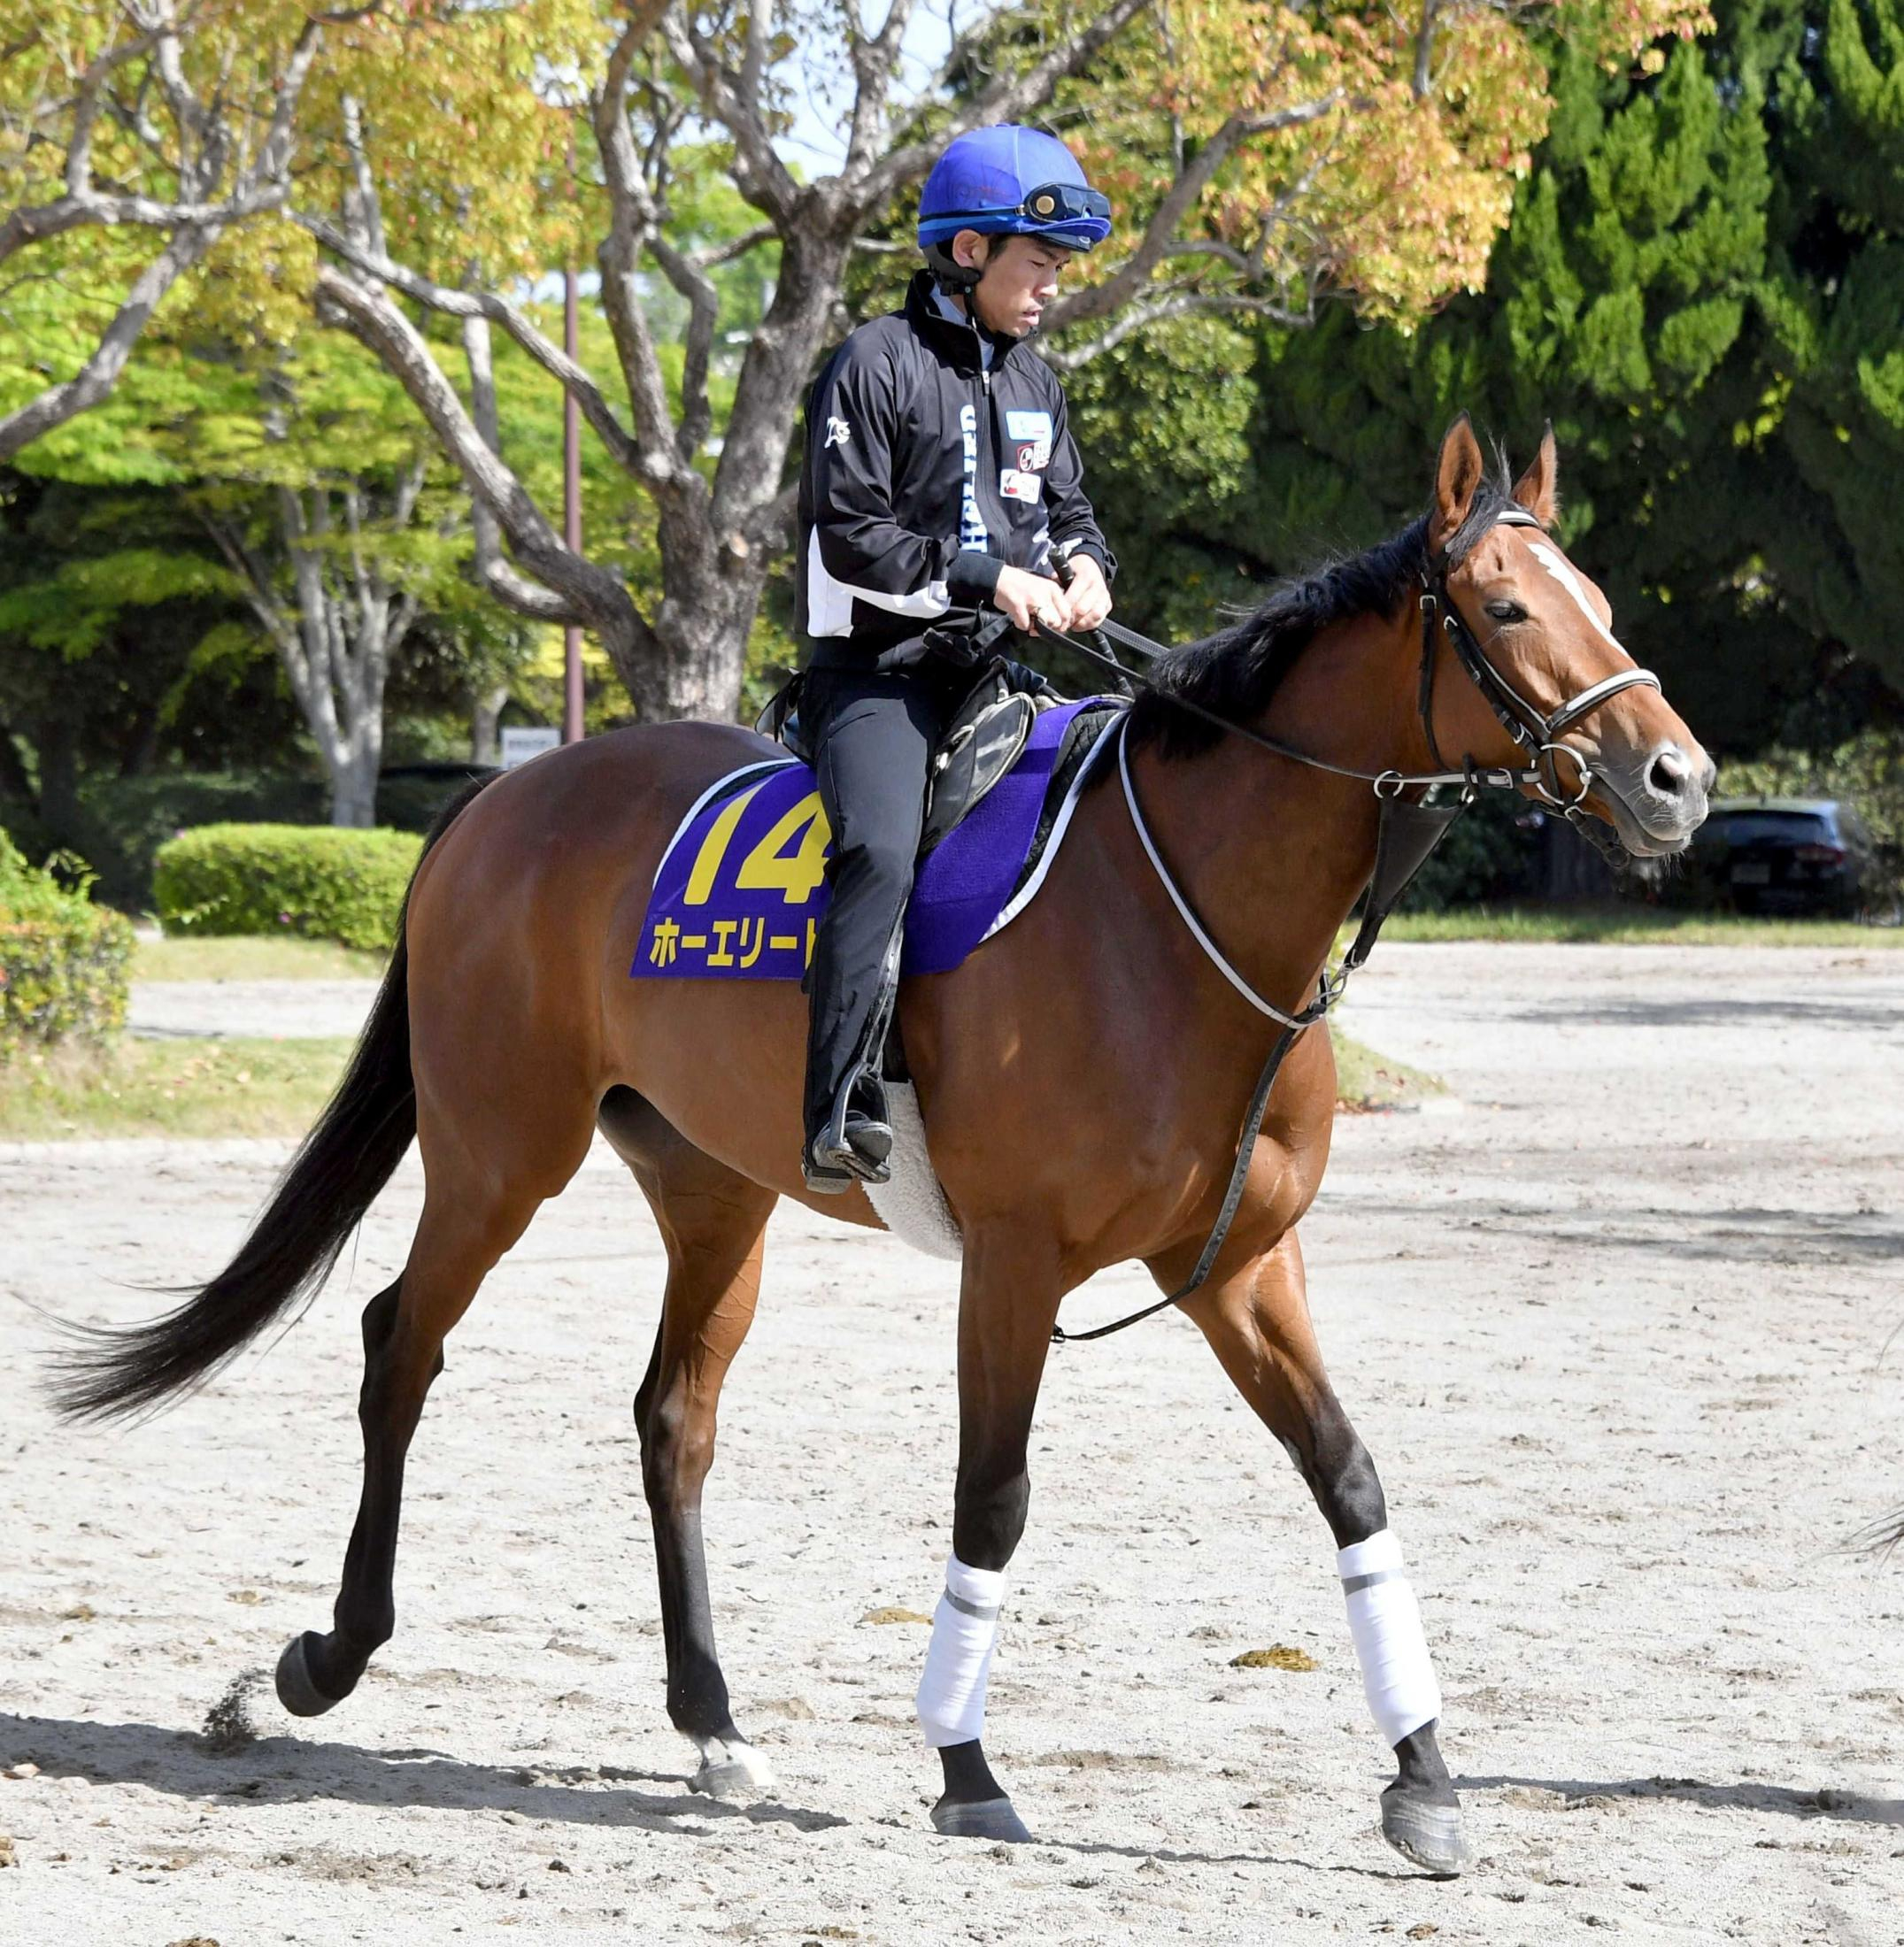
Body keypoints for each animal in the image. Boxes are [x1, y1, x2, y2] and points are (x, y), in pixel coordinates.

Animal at [52, 415, 1712, 1877]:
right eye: (1506, 605)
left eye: (1600, 603)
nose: (1677, 780)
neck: (1179, 910)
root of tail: (503, 797)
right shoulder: (1016, 1265)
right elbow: (994, 1497)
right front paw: (965, 1765)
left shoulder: (1238, 1264)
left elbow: (1351, 1484)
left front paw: (1424, 1780)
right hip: (496, 1155)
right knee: (402, 1344)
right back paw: (325, 1659)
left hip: (715, 1194)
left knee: (673, 1417)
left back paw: (711, 1724)